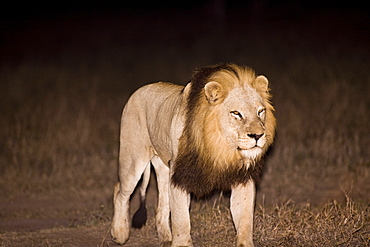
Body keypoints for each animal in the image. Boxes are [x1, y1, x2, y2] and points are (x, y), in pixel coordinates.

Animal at [111, 64, 276, 247]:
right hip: (133, 159)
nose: (258, 135)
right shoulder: (180, 175)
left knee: (162, 203)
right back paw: (120, 233)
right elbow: (181, 218)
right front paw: (182, 243)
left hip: (164, 167)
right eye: (236, 113)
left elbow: (245, 219)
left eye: (260, 111)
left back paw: (165, 237)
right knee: (120, 191)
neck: (222, 147)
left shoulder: (243, 177)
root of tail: (139, 91)